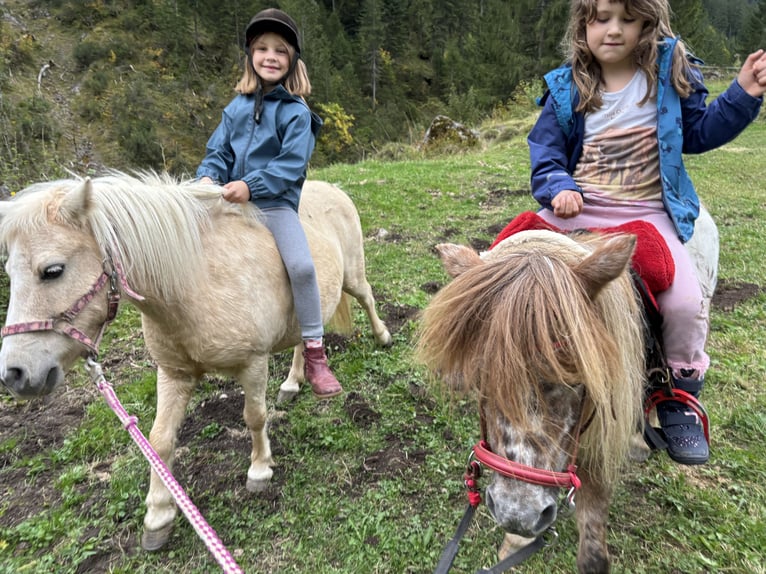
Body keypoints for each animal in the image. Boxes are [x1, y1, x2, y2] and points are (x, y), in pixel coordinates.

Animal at [0, 172, 392, 552]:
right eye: (10, 272)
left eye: (53, 270)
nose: (15, 374)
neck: (197, 284)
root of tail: (332, 190)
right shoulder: (174, 374)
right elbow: (159, 440)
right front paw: (159, 514)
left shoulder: (252, 364)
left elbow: (255, 417)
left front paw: (259, 470)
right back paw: (293, 383)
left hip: (352, 276)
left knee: (367, 297)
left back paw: (382, 336)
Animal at [416, 214, 716, 572]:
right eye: (481, 377)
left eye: (575, 377)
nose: (518, 515)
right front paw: (516, 542)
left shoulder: (599, 444)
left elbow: (593, 547)